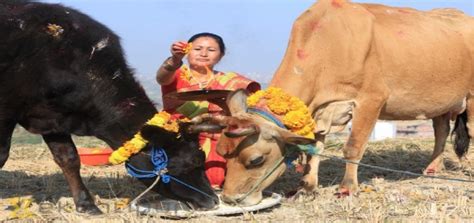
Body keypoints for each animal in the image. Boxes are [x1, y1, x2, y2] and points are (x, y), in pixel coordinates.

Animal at [213, 0, 474, 206]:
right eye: (222, 152)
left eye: (256, 160)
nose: (229, 199)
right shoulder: (321, 111)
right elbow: (315, 148)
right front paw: (306, 186)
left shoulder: (371, 99)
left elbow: (353, 146)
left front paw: (347, 188)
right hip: (441, 101)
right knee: (441, 130)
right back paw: (432, 169)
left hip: (471, 96)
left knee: (469, 129)